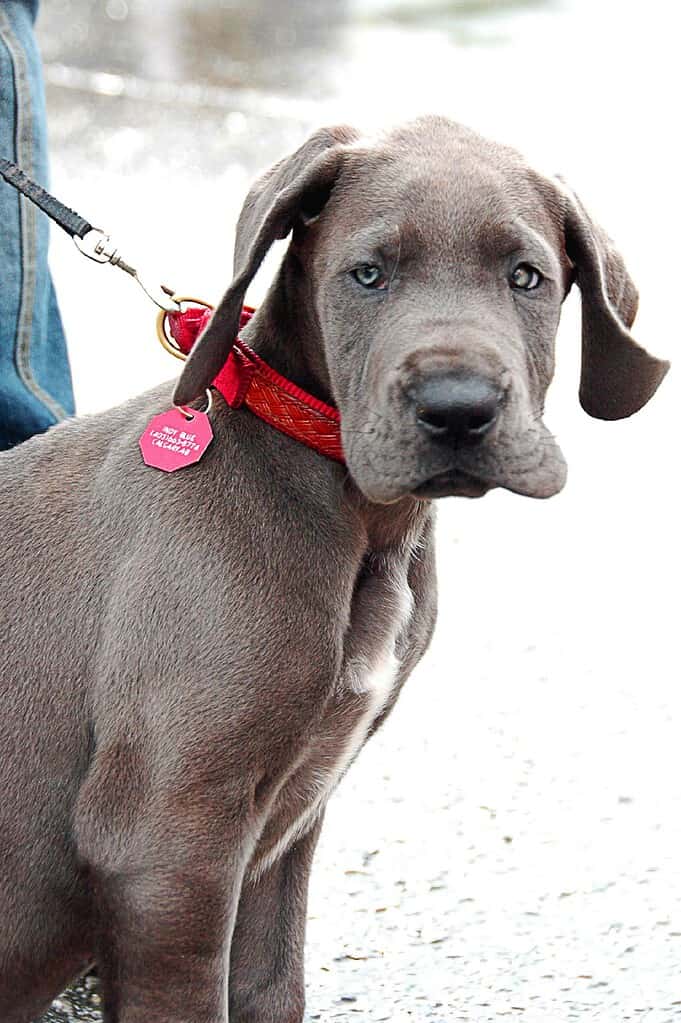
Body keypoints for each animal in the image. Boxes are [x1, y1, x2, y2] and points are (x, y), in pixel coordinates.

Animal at [0, 116, 666, 1018]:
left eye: (525, 276)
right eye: (368, 274)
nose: (456, 409)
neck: (363, 523)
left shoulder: (280, 833)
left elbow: (274, 985)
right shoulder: (165, 841)